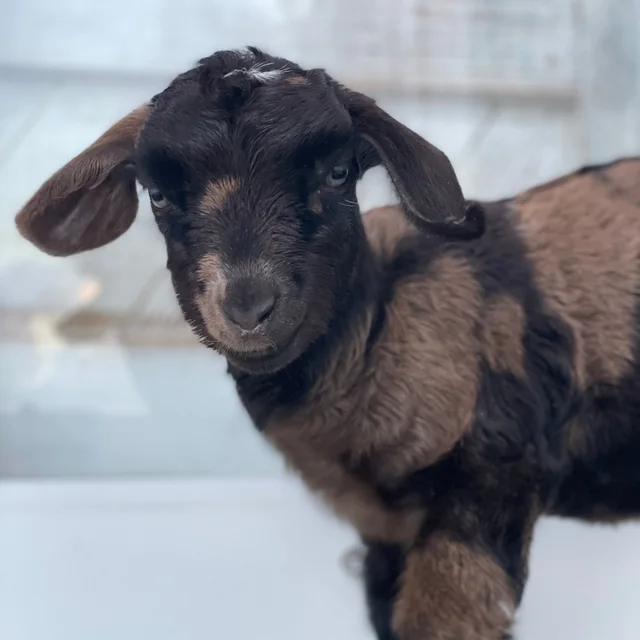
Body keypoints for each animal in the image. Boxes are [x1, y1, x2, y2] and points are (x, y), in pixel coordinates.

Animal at [14, 47, 640, 640]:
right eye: (159, 195)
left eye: (339, 172)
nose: (248, 306)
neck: (377, 328)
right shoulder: (384, 530)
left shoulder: (490, 478)